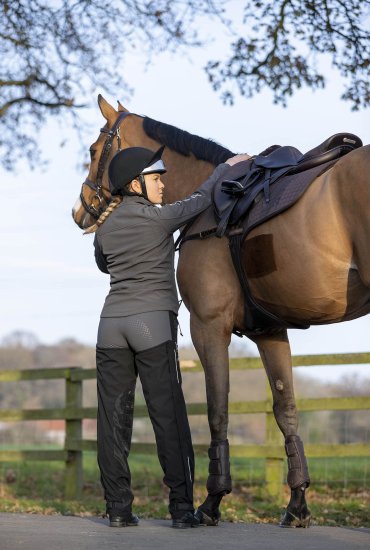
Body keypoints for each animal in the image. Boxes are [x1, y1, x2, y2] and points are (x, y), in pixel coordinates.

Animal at [72, 96, 370, 532]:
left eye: (94, 151)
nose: (79, 210)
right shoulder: (270, 331)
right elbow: (286, 412)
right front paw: (297, 504)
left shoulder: (208, 328)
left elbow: (217, 412)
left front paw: (210, 503)